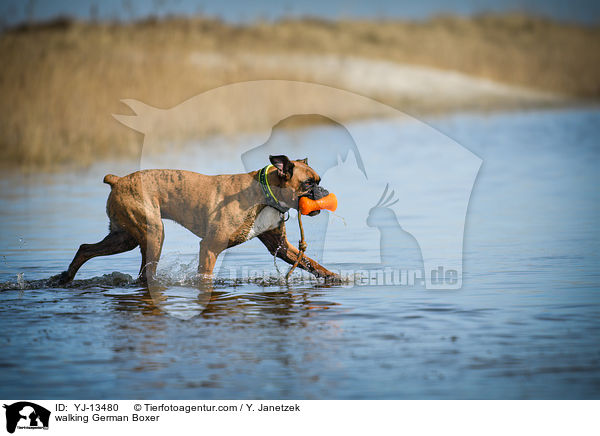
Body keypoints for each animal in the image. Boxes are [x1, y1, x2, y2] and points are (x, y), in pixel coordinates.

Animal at [56, 155, 340, 284]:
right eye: (308, 184)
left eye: (319, 181)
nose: (324, 191)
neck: (265, 191)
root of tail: (118, 180)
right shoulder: (210, 246)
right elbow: (205, 276)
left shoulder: (280, 247)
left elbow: (312, 264)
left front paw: (335, 277)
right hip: (152, 233)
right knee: (145, 271)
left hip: (123, 237)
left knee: (85, 249)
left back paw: (66, 278)